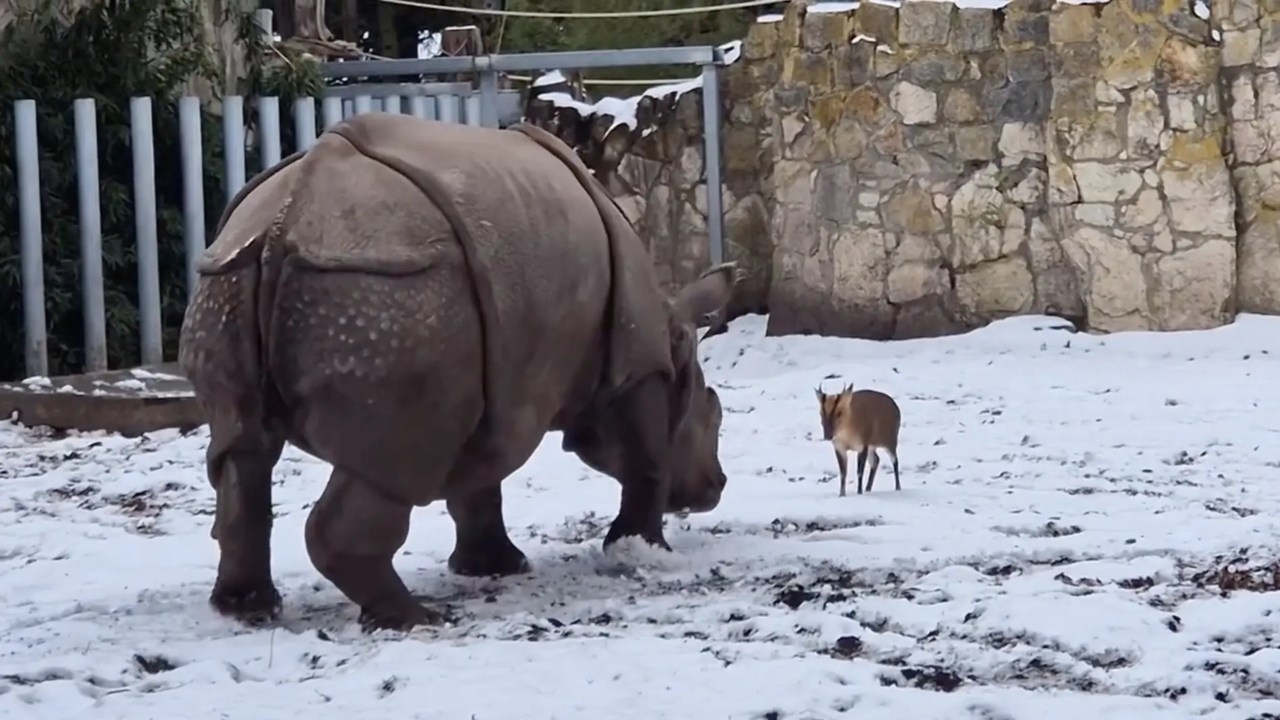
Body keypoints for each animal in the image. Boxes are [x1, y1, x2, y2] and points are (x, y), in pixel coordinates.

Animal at [178, 113, 739, 631]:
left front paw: (495, 569)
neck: (673, 333)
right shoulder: (634, 367)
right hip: (390, 292)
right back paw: (417, 620)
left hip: (233, 277)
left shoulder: (494, 385)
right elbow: (646, 461)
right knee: (390, 465)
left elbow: (477, 481)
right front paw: (642, 554)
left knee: (242, 449)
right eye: (712, 416)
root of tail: (287, 217)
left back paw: (247, 610)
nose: (716, 487)